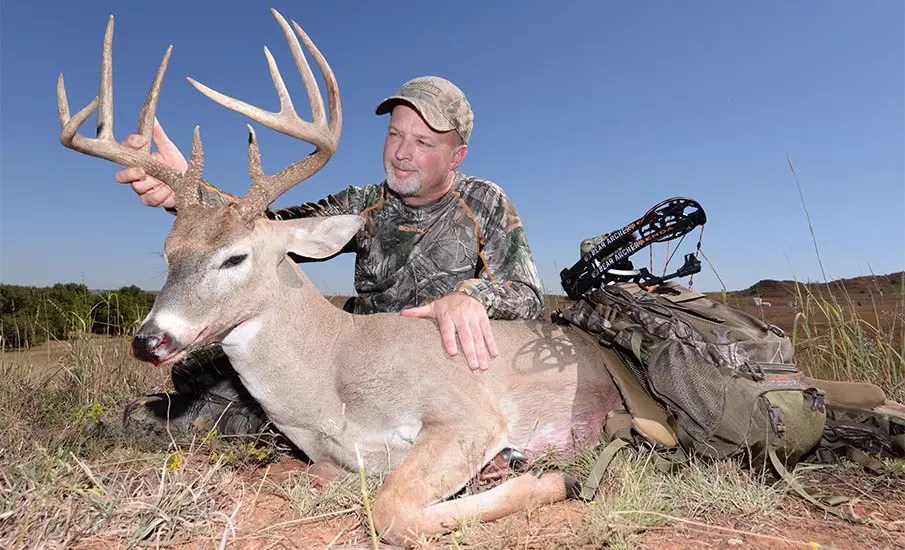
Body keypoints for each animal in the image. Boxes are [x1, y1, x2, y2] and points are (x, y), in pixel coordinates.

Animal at [57, 9, 628, 544]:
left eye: (234, 258)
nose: (148, 340)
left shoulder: (469, 412)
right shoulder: (329, 458)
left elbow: (392, 509)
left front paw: (555, 480)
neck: (334, 377)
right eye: (169, 253)